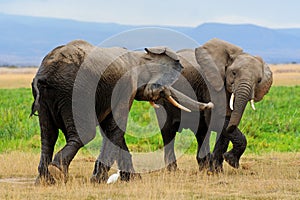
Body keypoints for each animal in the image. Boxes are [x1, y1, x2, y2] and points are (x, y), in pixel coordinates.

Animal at [31, 39, 213, 185]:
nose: (210, 104)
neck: (139, 57)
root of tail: (46, 73)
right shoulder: (126, 86)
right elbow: (116, 127)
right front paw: (98, 180)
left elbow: (111, 130)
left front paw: (132, 178)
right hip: (76, 92)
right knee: (84, 134)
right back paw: (57, 171)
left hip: (47, 99)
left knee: (48, 134)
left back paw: (44, 179)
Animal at [156, 38, 274, 173]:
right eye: (233, 73)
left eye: (259, 80)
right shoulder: (211, 86)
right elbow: (216, 120)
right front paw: (228, 162)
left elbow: (224, 124)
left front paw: (219, 169)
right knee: (168, 130)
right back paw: (173, 170)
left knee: (201, 132)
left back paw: (204, 167)